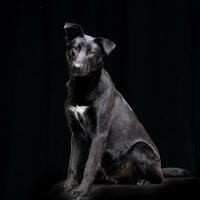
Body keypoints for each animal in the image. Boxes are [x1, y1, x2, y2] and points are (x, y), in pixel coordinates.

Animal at [63, 22, 189, 200]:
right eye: (75, 48)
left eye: (92, 53)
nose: (77, 67)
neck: (83, 88)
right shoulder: (76, 134)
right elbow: (73, 163)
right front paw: (69, 185)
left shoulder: (100, 134)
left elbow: (90, 164)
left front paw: (81, 190)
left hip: (141, 150)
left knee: (160, 178)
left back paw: (145, 181)